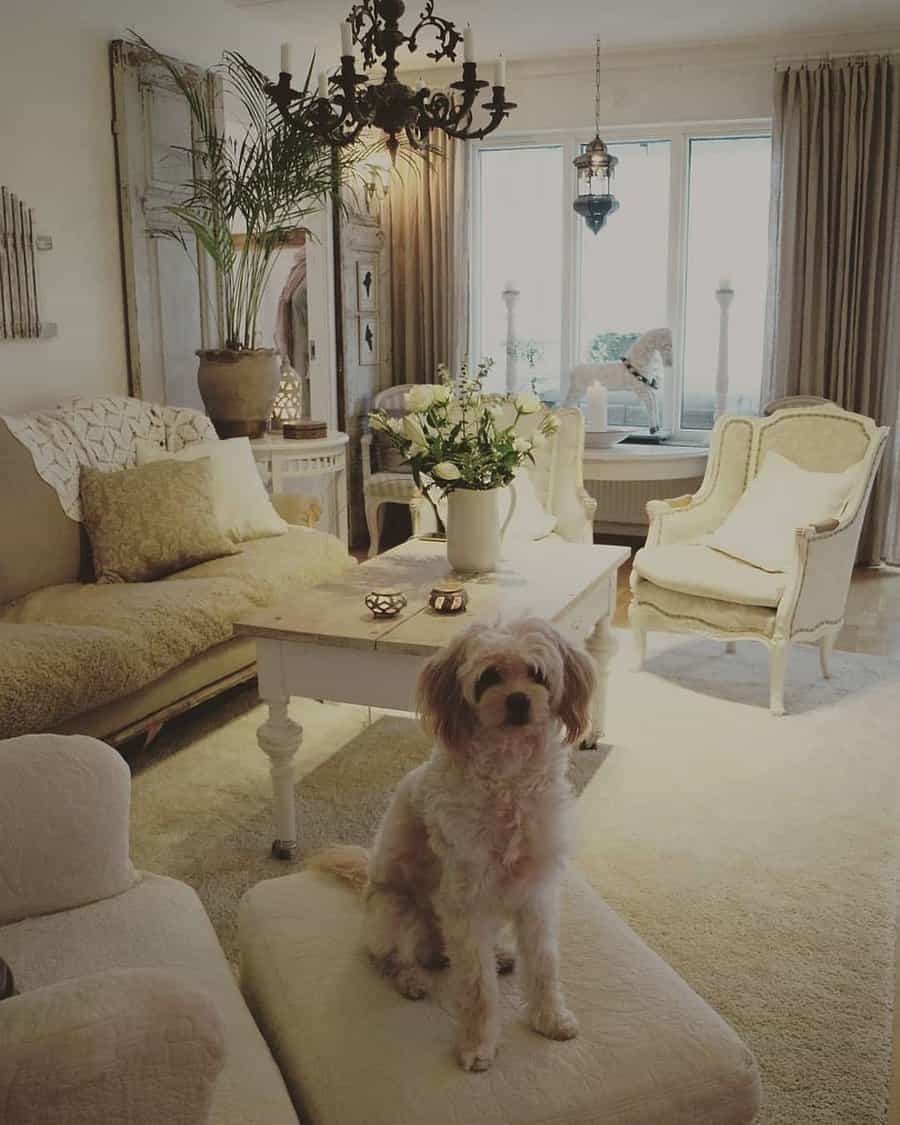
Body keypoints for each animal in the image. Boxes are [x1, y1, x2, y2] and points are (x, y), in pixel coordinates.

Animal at [310, 616, 598, 1071]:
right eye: (489, 677)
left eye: (537, 674)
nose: (519, 701)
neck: (509, 779)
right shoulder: (466, 902)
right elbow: (478, 989)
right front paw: (477, 1045)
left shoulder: (536, 893)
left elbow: (544, 964)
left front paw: (550, 1018)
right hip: (395, 910)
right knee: (386, 957)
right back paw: (411, 978)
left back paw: (499, 954)